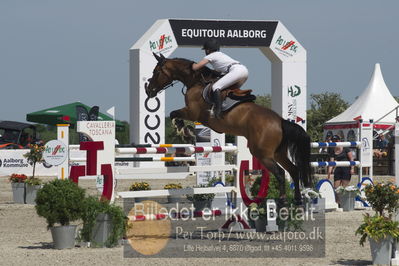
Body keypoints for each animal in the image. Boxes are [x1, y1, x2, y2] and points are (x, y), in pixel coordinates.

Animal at [145, 53, 314, 204]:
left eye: (156, 72)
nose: (149, 91)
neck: (196, 82)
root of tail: (280, 121)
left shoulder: (193, 112)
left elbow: (174, 114)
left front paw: (181, 128)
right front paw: (184, 130)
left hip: (263, 154)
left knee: (280, 172)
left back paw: (283, 200)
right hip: (278, 153)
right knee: (293, 170)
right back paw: (297, 200)